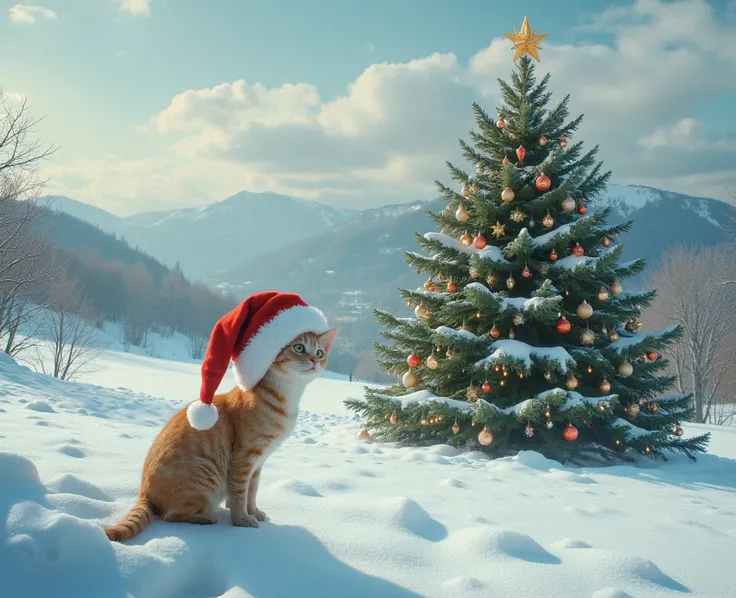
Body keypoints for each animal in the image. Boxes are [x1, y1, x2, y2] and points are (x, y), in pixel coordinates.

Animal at [103, 328, 336, 544]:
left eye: (320, 352)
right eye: (299, 348)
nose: (315, 360)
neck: (287, 397)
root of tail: (145, 493)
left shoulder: (258, 464)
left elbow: (252, 491)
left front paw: (254, 511)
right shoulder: (244, 459)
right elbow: (240, 494)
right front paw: (242, 519)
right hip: (207, 474)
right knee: (171, 515)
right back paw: (207, 517)